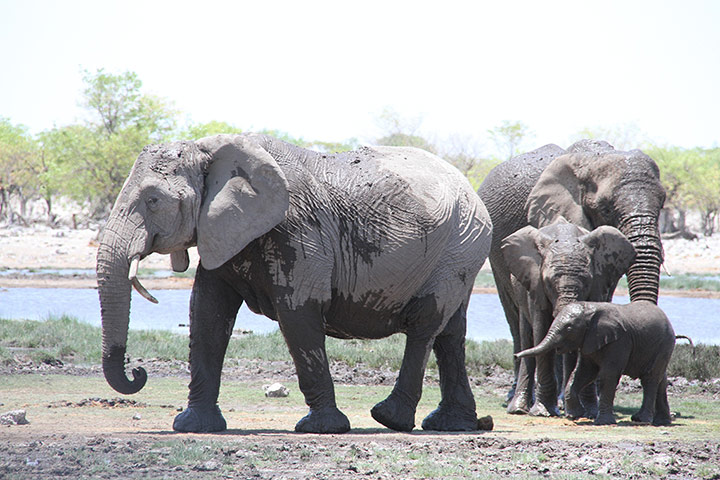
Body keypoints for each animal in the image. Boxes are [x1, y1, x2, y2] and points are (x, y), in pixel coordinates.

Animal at [97, 132, 496, 436]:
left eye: (153, 200)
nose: (138, 371)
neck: (210, 150)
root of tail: (473, 190)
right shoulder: (221, 228)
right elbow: (207, 313)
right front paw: (192, 426)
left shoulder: (297, 229)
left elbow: (297, 312)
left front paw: (321, 428)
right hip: (461, 249)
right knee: (451, 332)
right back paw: (452, 424)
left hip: (460, 243)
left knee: (425, 324)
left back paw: (390, 418)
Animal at [500, 219, 636, 414]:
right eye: (549, 282)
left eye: (587, 281)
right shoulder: (536, 286)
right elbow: (541, 331)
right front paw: (543, 412)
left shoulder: (598, 284)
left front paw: (585, 412)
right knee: (527, 336)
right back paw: (519, 409)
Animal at [516, 302, 676, 426]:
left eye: (569, 328)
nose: (516, 355)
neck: (590, 308)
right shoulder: (589, 340)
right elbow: (583, 373)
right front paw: (575, 415)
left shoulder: (619, 341)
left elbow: (608, 375)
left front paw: (602, 422)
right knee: (661, 379)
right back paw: (662, 422)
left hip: (664, 344)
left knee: (650, 379)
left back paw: (641, 419)